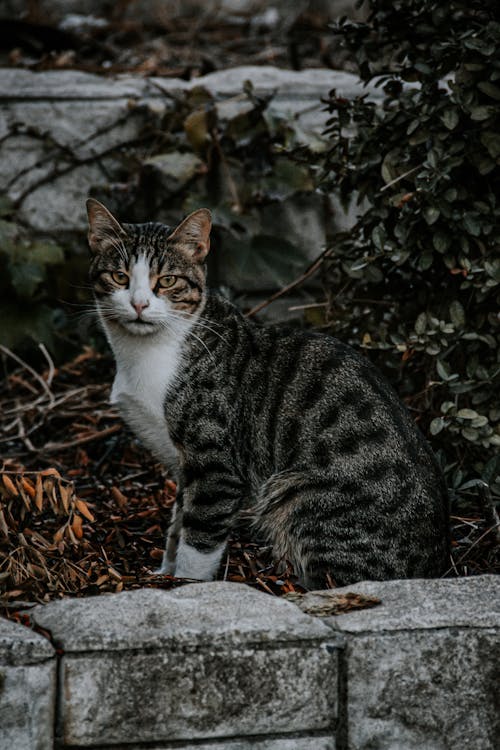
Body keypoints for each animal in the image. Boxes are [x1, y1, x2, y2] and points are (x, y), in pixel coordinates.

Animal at [86, 198, 450, 588]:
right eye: (120, 277)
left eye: (167, 281)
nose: (139, 305)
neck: (147, 352)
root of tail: (436, 566)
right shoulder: (183, 465)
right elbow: (178, 520)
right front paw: (163, 573)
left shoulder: (214, 463)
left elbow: (200, 535)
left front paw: (184, 584)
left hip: (299, 496)